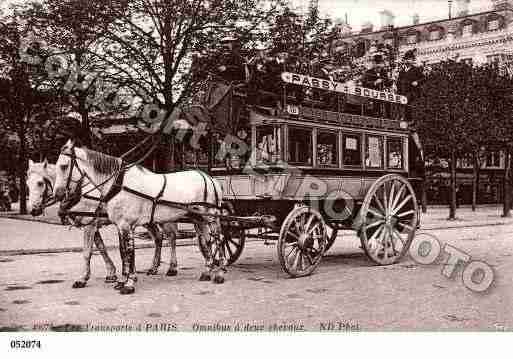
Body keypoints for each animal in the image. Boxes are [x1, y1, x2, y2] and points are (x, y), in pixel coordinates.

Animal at [28, 159, 180, 288]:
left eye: (40, 183)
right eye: (27, 183)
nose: (33, 210)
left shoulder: (89, 225)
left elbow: (87, 252)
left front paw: (83, 278)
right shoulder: (93, 225)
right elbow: (101, 247)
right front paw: (112, 273)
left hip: (164, 217)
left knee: (171, 237)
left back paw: (172, 267)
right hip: (147, 219)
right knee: (158, 237)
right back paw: (154, 267)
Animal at [53, 139, 226, 294]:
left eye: (64, 166)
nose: (57, 194)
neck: (117, 184)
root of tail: (209, 178)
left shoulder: (115, 225)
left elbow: (126, 253)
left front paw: (128, 284)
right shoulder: (119, 225)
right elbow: (122, 252)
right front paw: (122, 280)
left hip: (210, 216)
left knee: (218, 238)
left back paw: (219, 272)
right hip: (198, 218)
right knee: (204, 241)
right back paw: (206, 271)